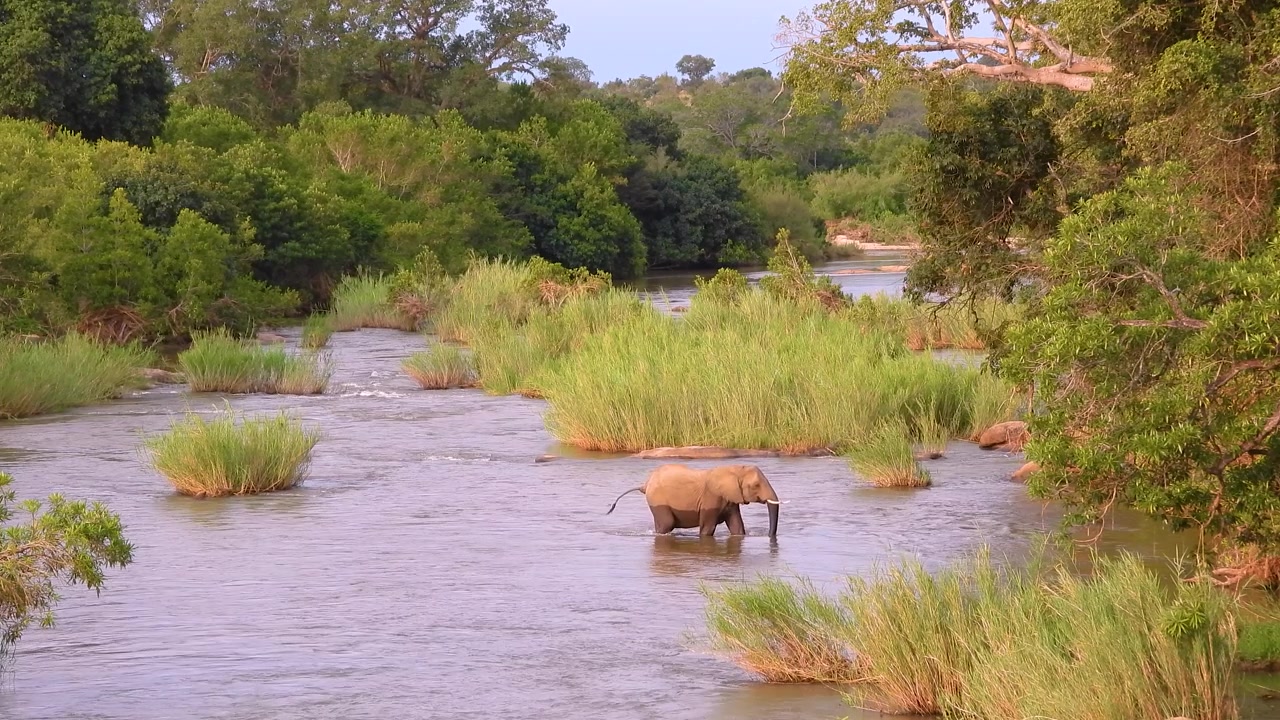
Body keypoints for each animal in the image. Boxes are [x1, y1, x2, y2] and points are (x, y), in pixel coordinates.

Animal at [606, 463, 781, 538]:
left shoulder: (730, 500)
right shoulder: (711, 497)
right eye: (756, 485)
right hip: (657, 499)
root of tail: (645, 483)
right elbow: (708, 528)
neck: (735, 469)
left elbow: (737, 526)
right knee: (667, 523)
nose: (768, 536)